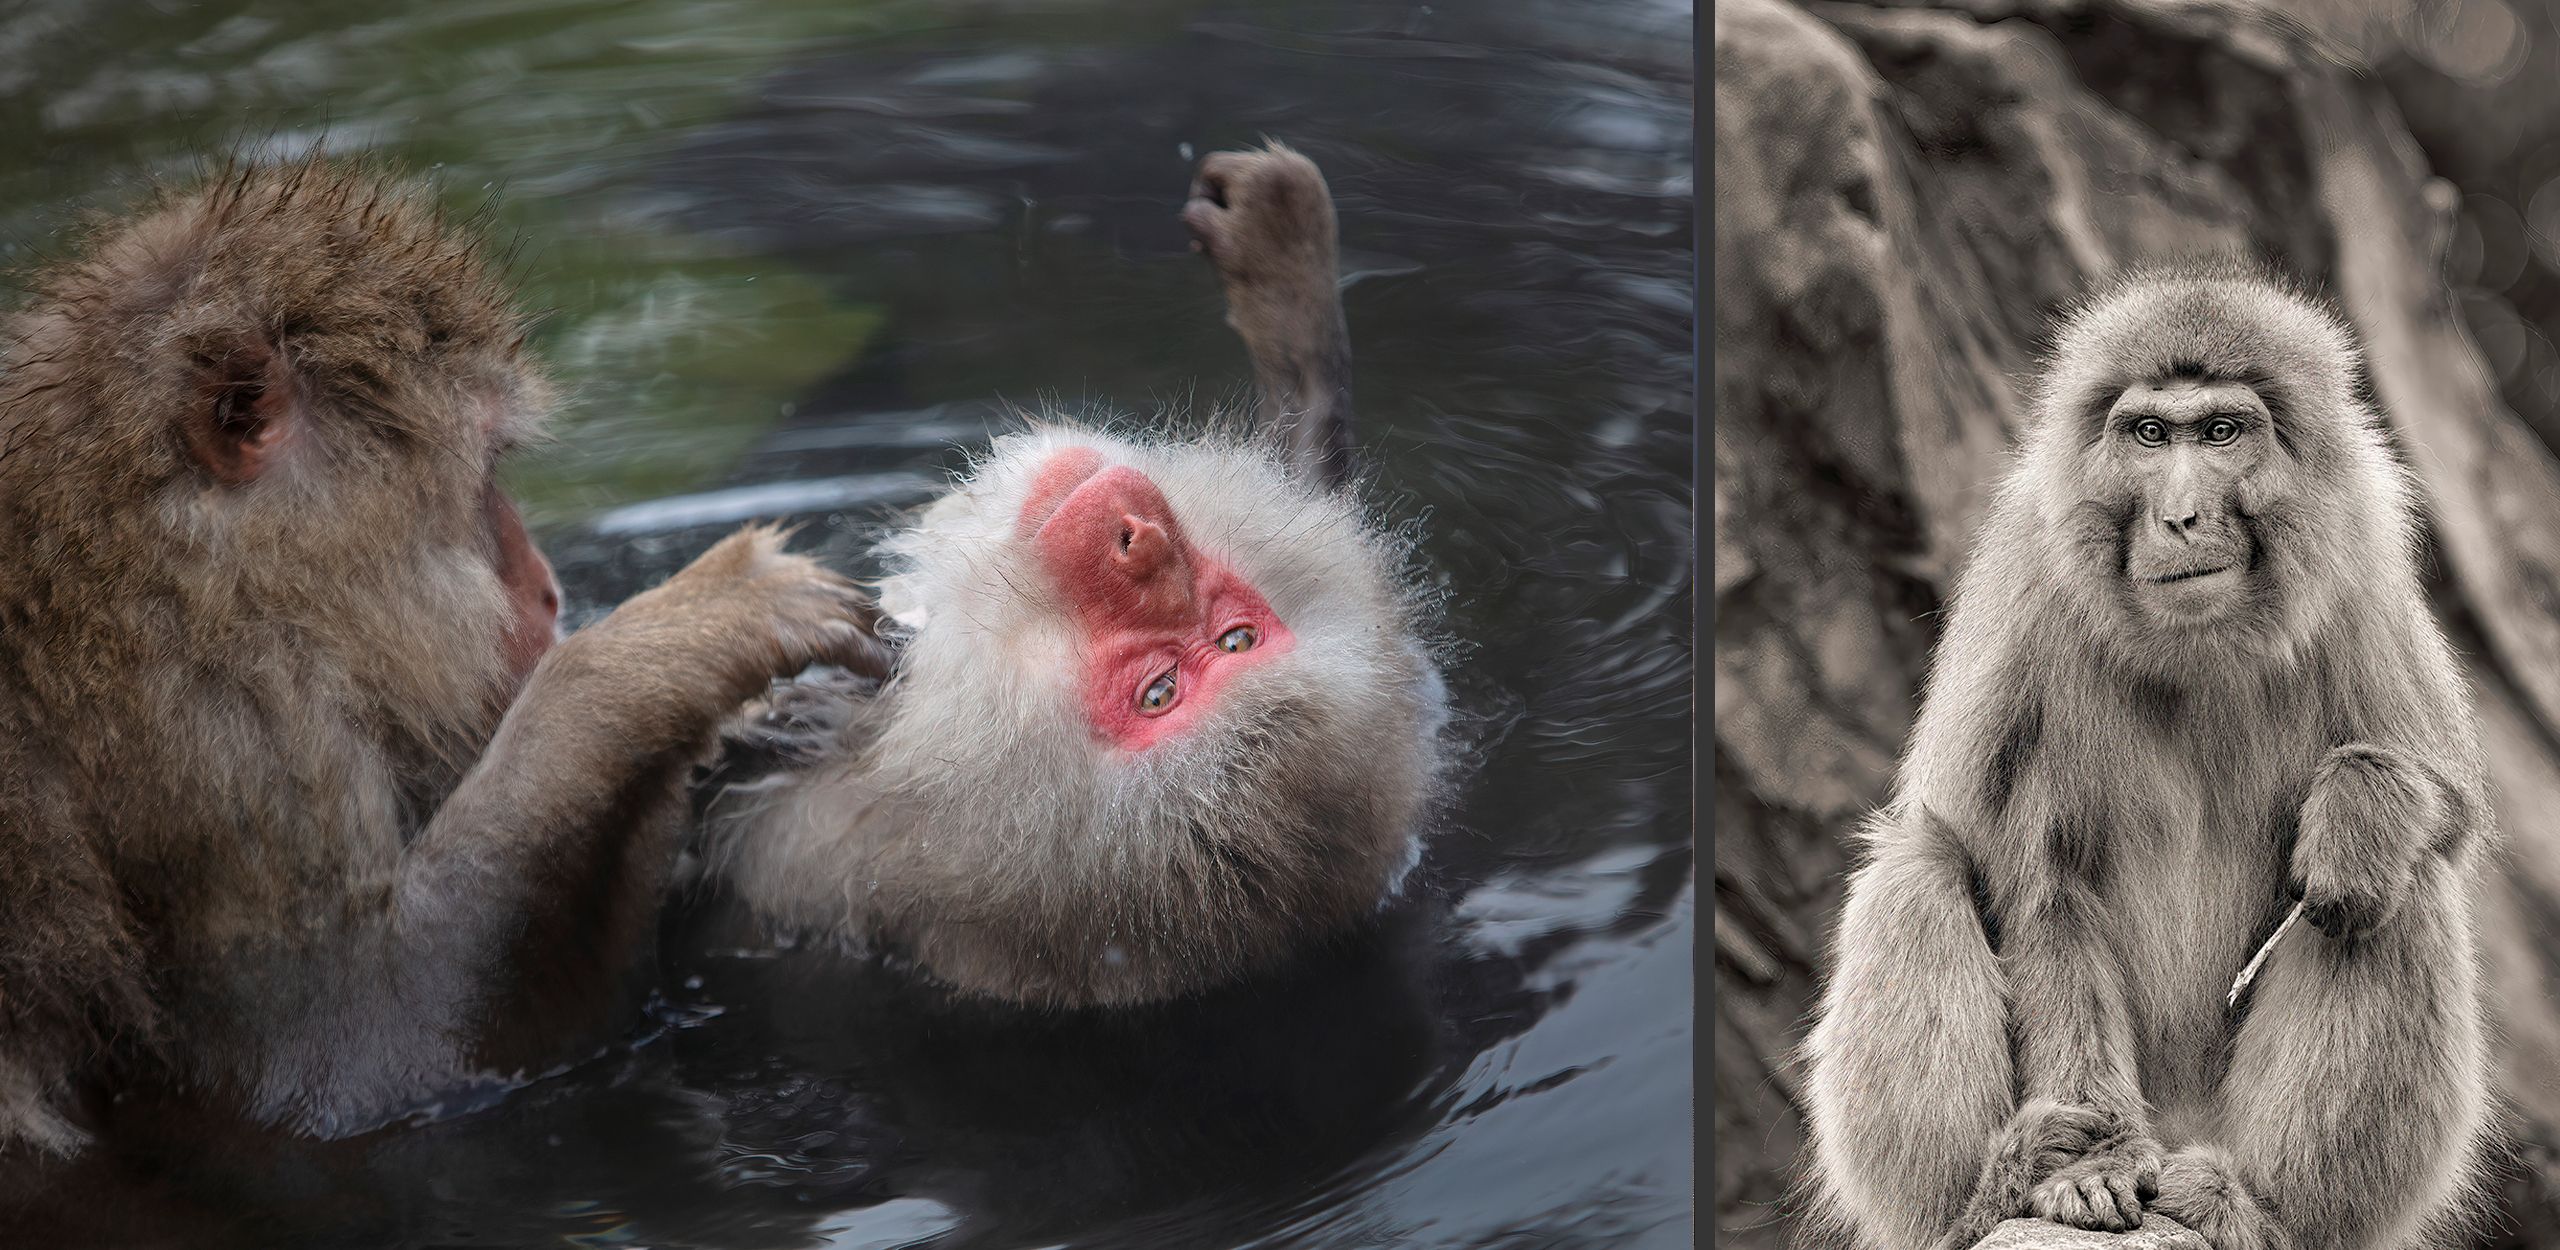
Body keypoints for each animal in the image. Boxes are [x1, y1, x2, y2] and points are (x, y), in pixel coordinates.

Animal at [1797, 265, 2495, 1250]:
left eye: (2223, 432)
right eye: (2151, 434)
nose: (2181, 515)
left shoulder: (2360, 563)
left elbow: (2447, 804)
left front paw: (2360, 811)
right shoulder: (2031, 590)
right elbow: (2037, 882)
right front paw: (2090, 1170)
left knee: (2397, 892)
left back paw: (2259, 1207)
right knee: (1920, 866)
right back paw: (1991, 1190)